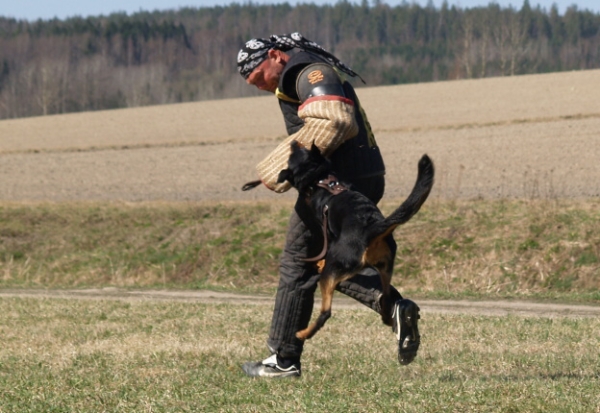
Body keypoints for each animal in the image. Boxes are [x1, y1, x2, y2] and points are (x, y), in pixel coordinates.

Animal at [276, 140, 436, 340]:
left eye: (293, 153)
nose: (293, 141)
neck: (320, 179)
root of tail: (372, 228)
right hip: (385, 269)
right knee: (385, 299)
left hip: (330, 272)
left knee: (325, 312)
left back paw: (303, 333)